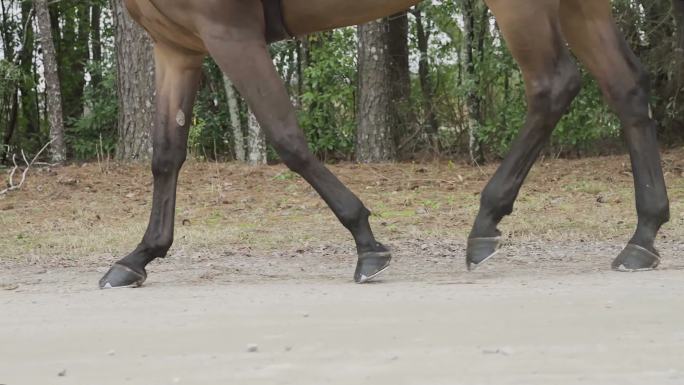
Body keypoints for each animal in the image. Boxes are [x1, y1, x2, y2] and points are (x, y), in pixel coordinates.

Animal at [97, 0, 668, 288]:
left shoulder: (228, 32)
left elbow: (287, 138)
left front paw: (366, 242)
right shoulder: (178, 45)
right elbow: (165, 154)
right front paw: (140, 255)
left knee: (554, 86)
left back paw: (486, 222)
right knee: (626, 88)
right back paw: (642, 236)